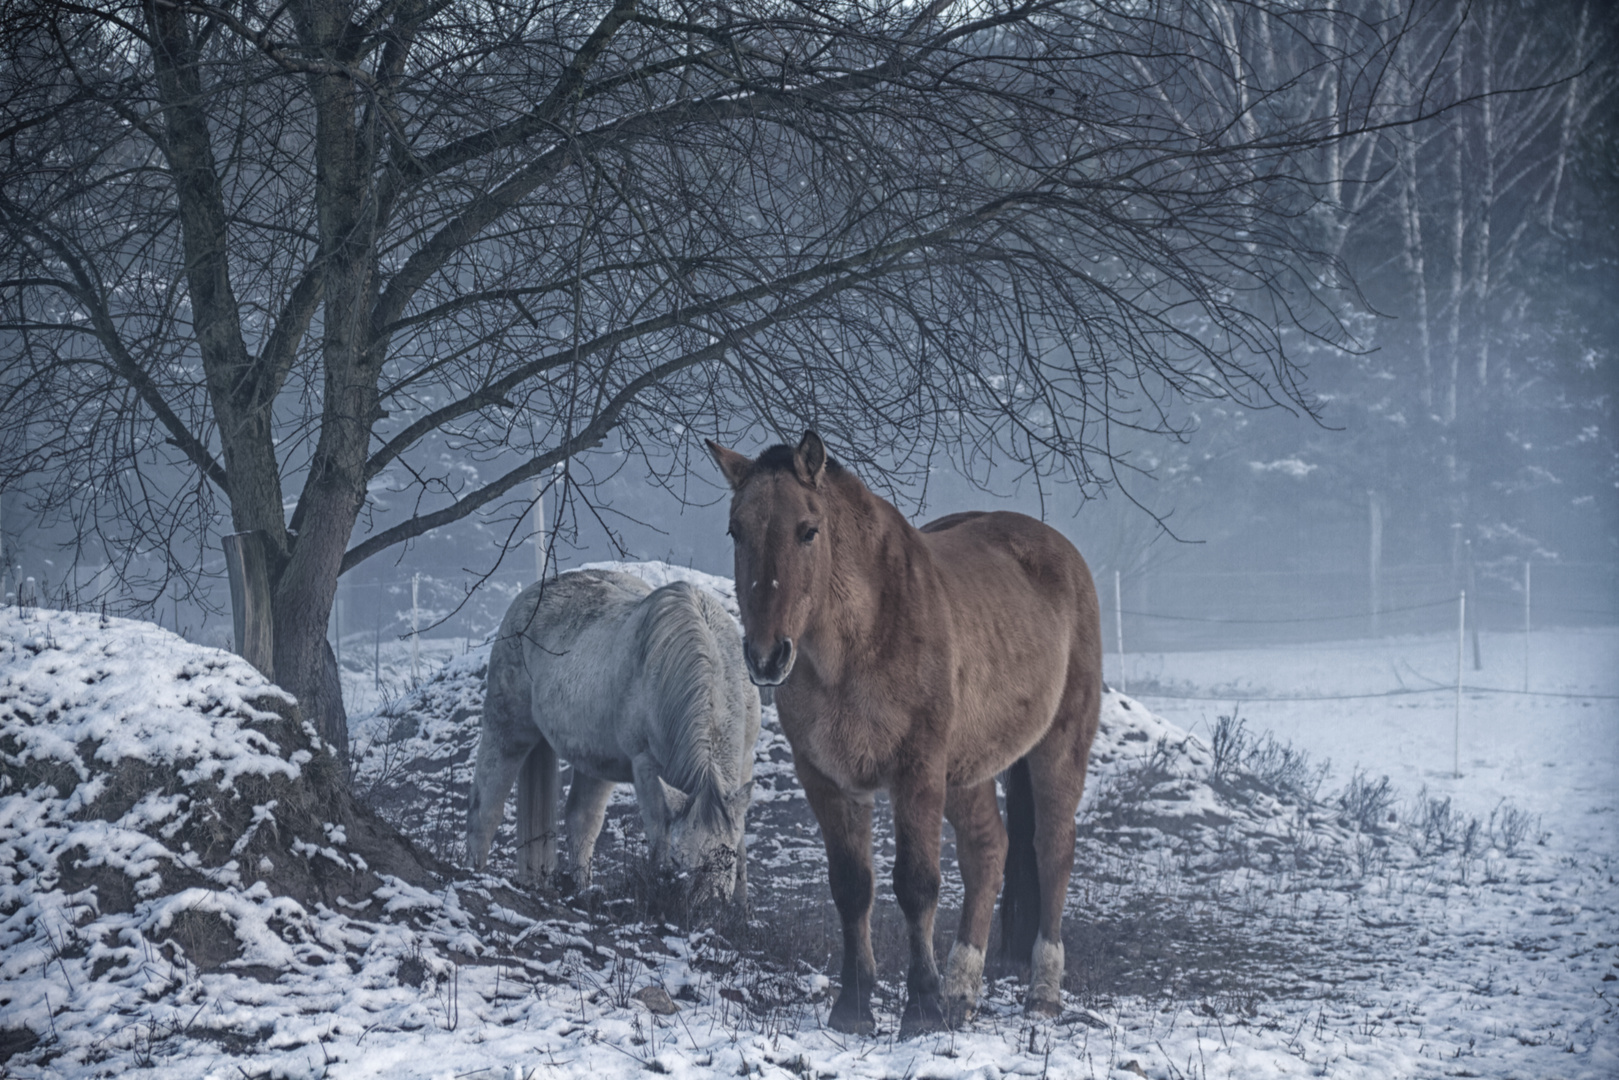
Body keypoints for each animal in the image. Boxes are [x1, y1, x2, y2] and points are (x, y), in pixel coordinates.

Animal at [469, 573, 757, 906]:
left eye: (725, 859)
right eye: (678, 861)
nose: (704, 908)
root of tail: (530, 595)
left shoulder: (743, 765)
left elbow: (742, 841)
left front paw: (742, 910)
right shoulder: (646, 767)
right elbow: (659, 831)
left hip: (595, 761)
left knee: (581, 821)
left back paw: (583, 891)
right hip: (507, 730)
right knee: (485, 809)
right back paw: (474, 873)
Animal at [709, 430, 1100, 1036]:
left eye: (808, 530)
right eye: (735, 530)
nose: (767, 656)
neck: (856, 644)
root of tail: (1060, 554)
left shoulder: (916, 772)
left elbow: (916, 886)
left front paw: (920, 1008)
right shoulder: (828, 778)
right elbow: (852, 887)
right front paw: (853, 1007)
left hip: (1057, 750)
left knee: (1053, 850)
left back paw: (1042, 994)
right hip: (966, 772)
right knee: (988, 851)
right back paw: (962, 992)